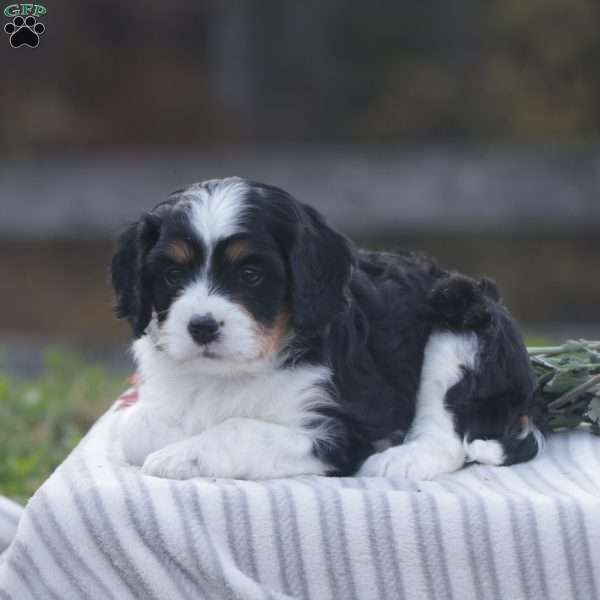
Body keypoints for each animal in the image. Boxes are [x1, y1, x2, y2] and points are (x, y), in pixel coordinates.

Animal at [111, 176, 544, 480]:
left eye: (250, 274)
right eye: (171, 275)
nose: (201, 327)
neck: (234, 372)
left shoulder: (339, 429)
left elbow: (240, 428)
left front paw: (181, 455)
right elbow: (133, 430)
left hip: (460, 324)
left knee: (446, 433)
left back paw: (401, 457)